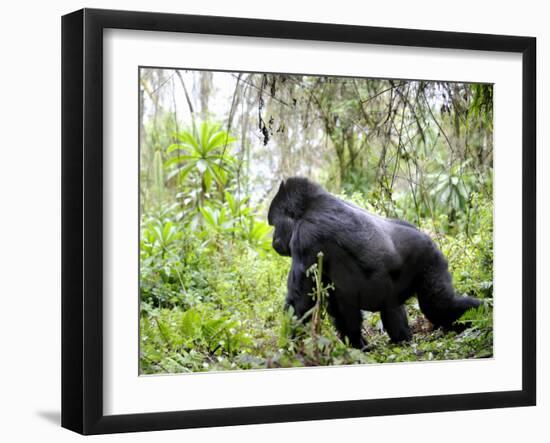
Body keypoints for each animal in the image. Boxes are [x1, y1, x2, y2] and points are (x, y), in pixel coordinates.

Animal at [268, 177, 484, 350]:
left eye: (274, 225)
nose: (273, 241)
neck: (308, 207)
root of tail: (427, 236)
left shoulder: (305, 237)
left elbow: (300, 304)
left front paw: (288, 349)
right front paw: (358, 346)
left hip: (429, 258)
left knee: (438, 306)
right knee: (397, 308)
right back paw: (404, 341)